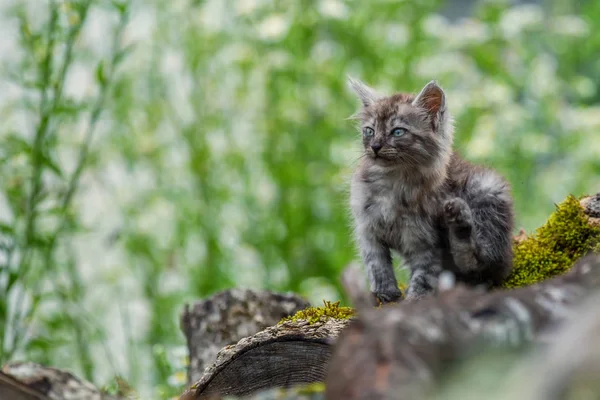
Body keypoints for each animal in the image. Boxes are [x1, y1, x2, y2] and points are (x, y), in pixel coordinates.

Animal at [350, 78, 512, 304]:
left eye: (397, 132)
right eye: (369, 131)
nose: (374, 146)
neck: (393, 180)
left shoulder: (426, 242)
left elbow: (424, 276)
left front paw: (415, 299)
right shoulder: (367, 230)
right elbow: (376, 264)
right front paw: (385, 293)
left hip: (487, 190)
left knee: (483, 265)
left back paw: (460, 222)